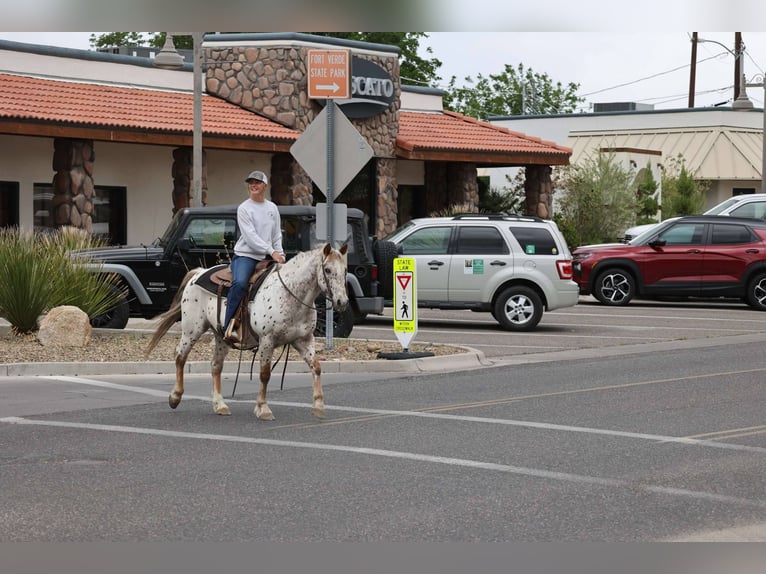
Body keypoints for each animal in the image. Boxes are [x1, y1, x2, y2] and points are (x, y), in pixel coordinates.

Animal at [145, 243, 349, 420]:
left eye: (345, 270)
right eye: (327, 270)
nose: (342, 302)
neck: (291, 295)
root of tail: (199, 273)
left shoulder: (304, 340)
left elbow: (316, 367)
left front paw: (318, 406)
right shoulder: (267, 340)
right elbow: (265, 374)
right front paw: (263, 408)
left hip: (221, 337)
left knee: (216, 365)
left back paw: (220, 405)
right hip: (192, 330)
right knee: (180, 356)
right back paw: (175, 397)